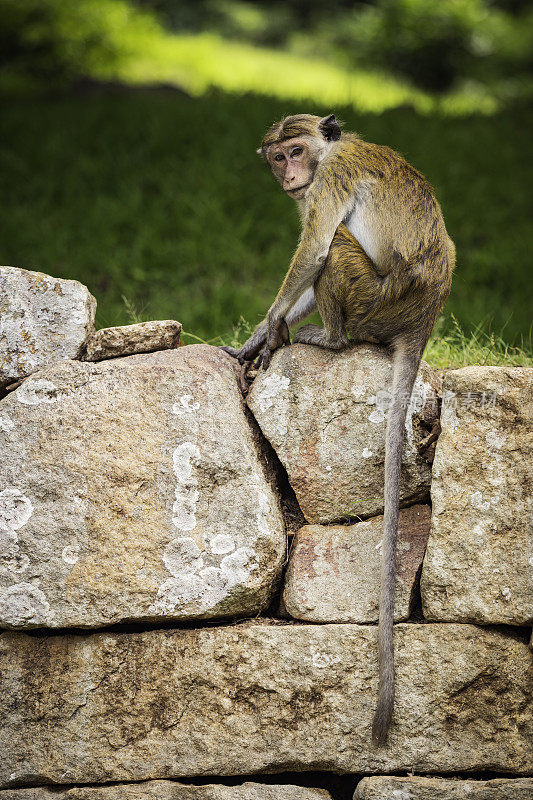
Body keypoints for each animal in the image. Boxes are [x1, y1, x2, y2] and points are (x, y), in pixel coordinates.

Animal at [221, 112, 454, 744]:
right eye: (278, 157)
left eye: (296, 151)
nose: (289, 174)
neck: (328, 154)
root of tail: (424, 318)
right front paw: (256, 338)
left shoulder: (328, 184)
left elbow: (314, 248)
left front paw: (273, 321)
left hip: (375, 302)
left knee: (337, 250)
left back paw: (331, 337)